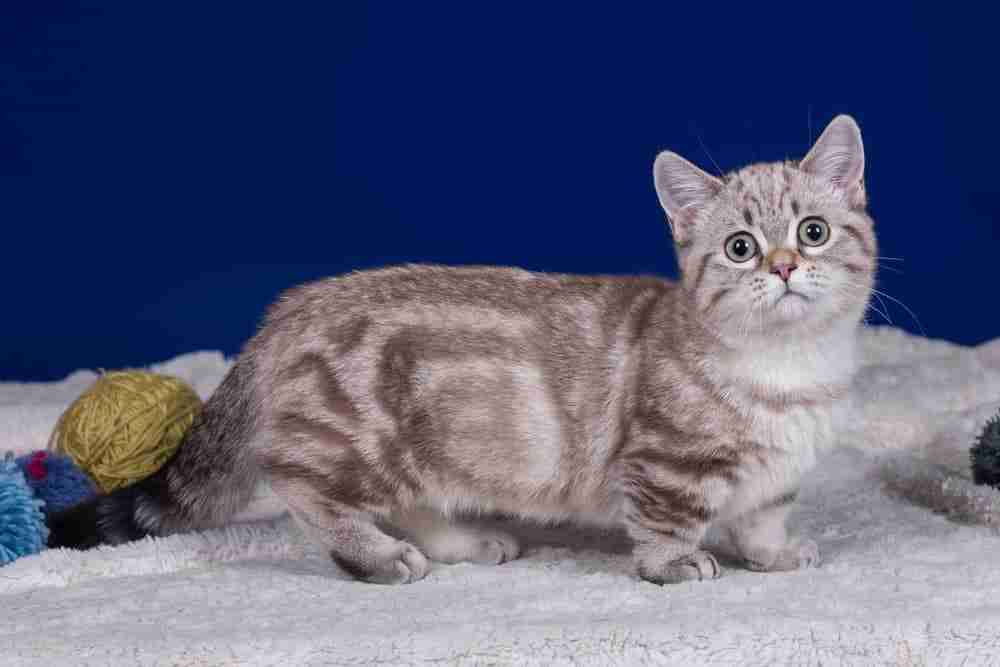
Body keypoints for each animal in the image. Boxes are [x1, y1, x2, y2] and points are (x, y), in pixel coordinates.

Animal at [50, 117, 872, 588]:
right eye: (739, 247)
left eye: (813, 233)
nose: (784, 267)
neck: (794, 371)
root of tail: (291, 306)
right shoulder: (661, 464)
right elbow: (666, 524)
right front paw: (675, 565)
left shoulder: (773, 482)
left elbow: (763, 519)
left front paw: (775, 555)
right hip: (358, 444)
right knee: (305, 490)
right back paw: (377, 558)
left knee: (417, 505)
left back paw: (467, 541)